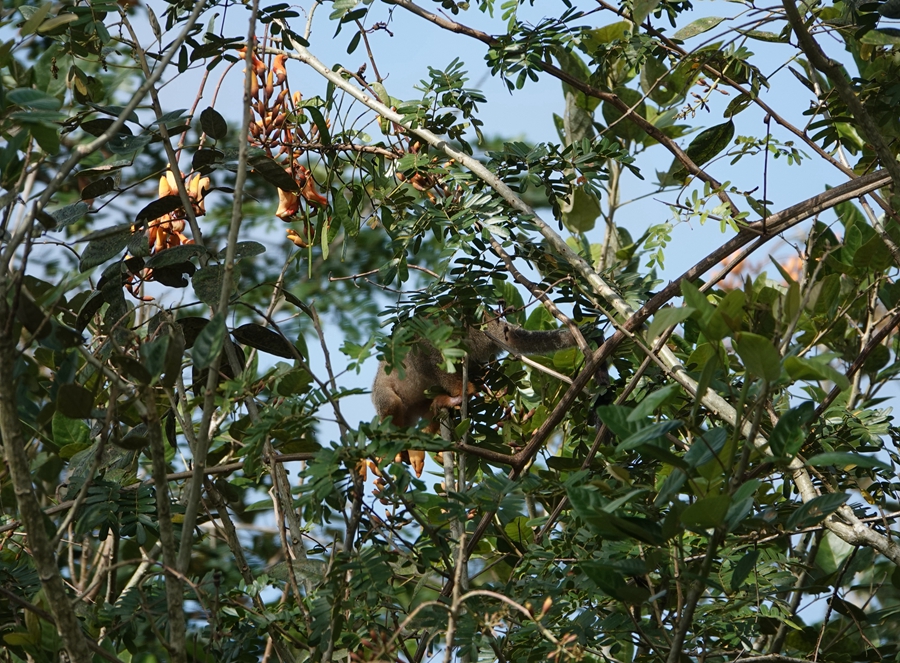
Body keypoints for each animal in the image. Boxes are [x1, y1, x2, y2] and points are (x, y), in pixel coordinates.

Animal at [374, 318, 580, 478]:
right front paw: (414, 451)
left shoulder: (383, 395)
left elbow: (389, 406)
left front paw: (393, 449)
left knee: (426, 357)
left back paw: (461, 394)